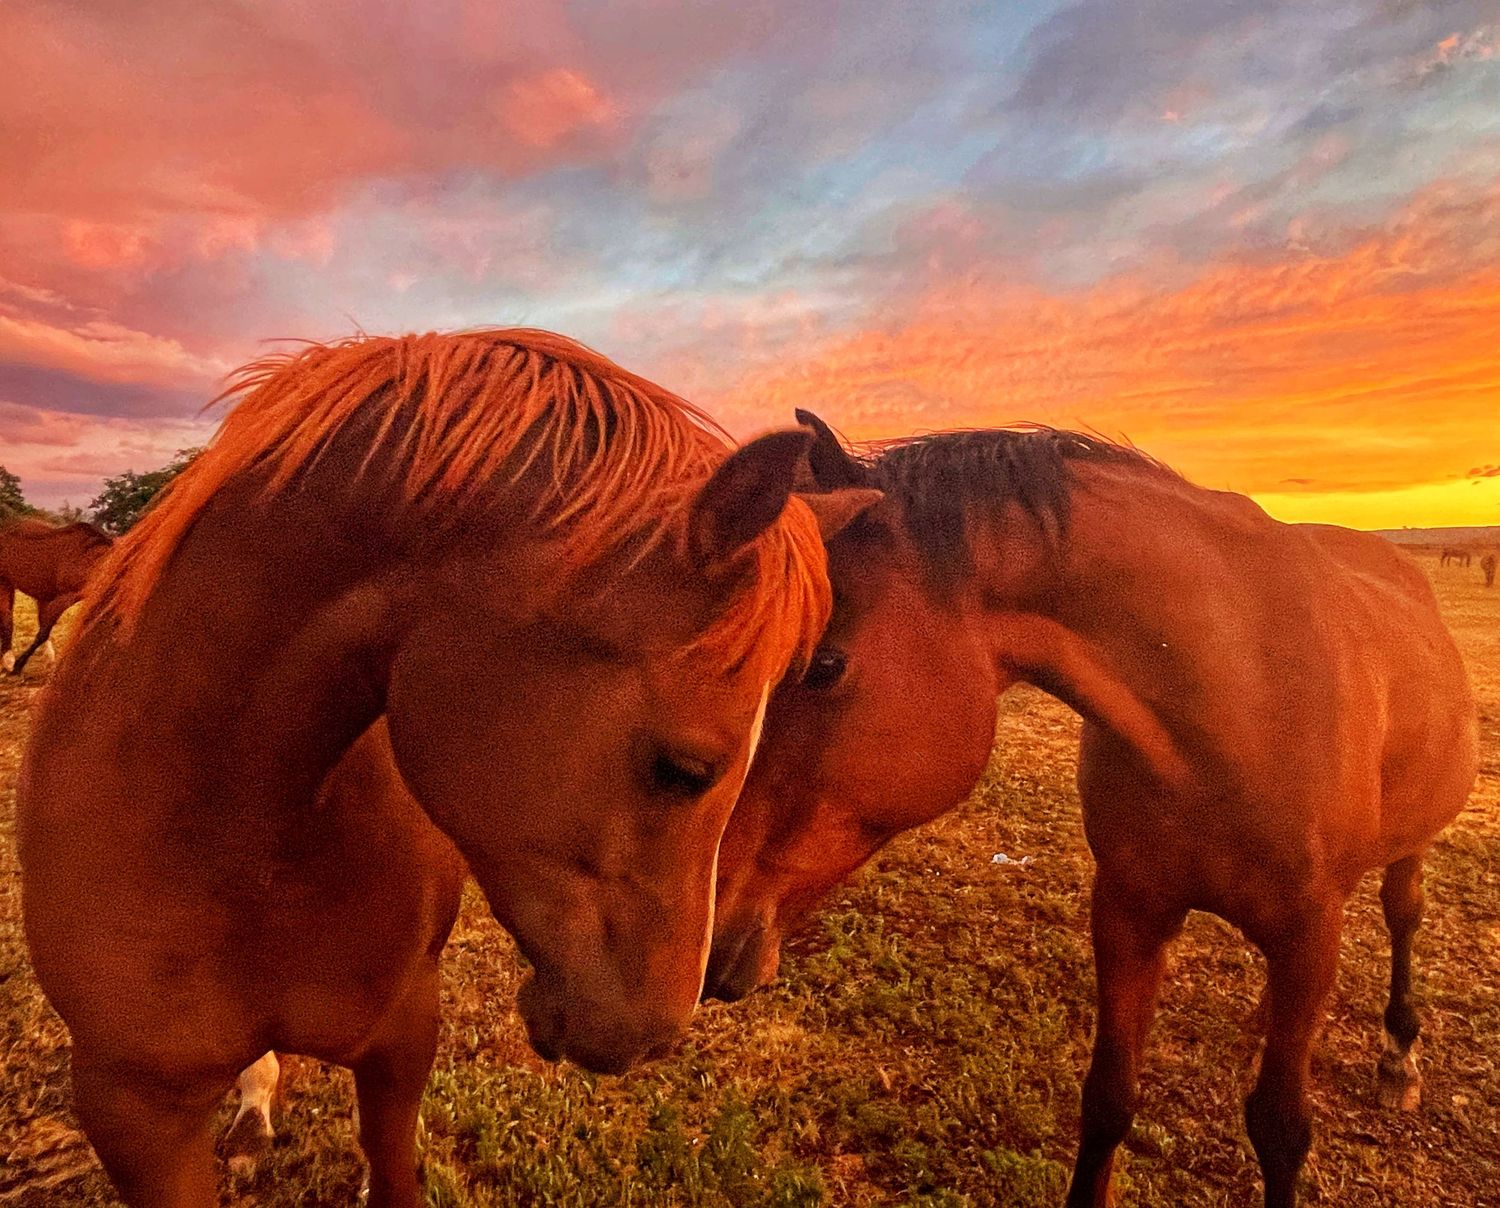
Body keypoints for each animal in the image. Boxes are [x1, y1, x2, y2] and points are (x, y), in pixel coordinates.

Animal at [0, 518, 114, 675]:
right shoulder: (63, 599)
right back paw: (9, 661)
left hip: (41, 595)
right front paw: (18, 665)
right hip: (6, 584)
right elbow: (43, 633)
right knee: (7, 619)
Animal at [706, 411, 1478, 1208]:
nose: (705, 928)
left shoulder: (1307, 931)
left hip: (1406, 850)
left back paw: (1399, 1054)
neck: (1239, 696)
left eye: (824, 664)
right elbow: (1109, 1096)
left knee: (1404, 912)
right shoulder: (1128, 910)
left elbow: (1281, 1128)